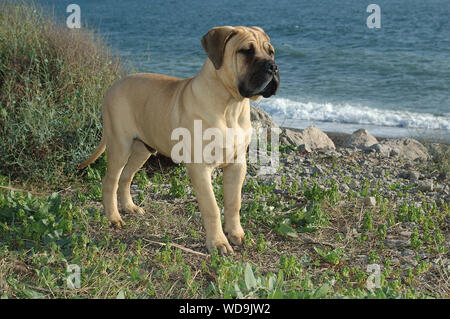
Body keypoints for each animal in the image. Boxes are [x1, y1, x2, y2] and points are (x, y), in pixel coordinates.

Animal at [79, 25, 280, 255]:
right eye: (246, 51)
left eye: (271, 52)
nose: (273, 66)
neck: (230, 106)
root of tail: (113, 86)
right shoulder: (200, 168)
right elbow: (212, 207)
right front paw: (218, 243)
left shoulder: (237, 165)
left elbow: (233, 203)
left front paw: (236, 234)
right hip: (120, 146)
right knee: (110, 180)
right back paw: (113, 218)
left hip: (142, 150)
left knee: (126, 177)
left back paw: (129, 207)